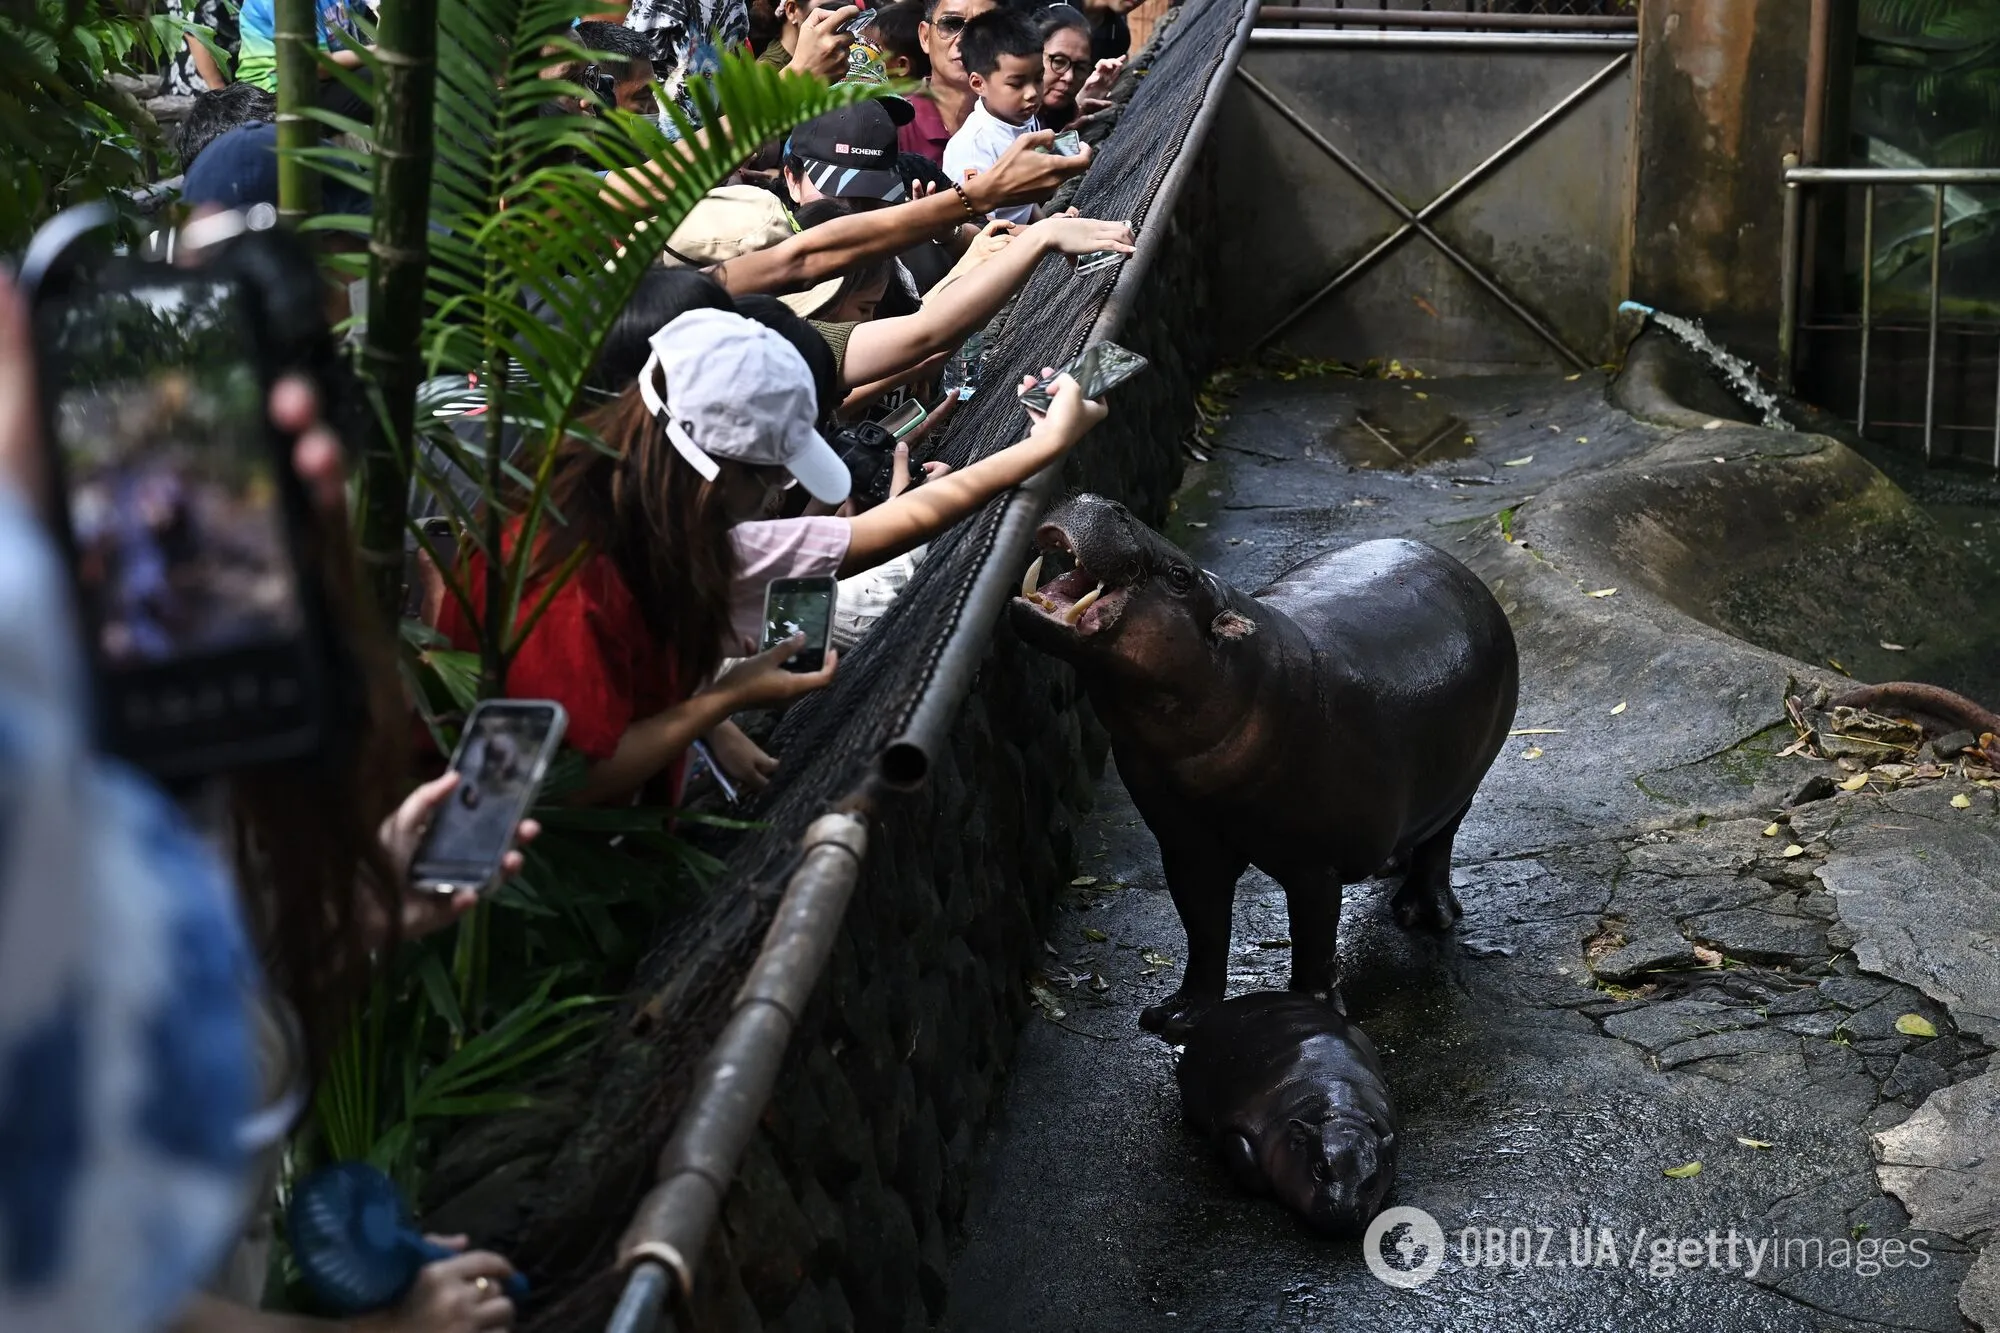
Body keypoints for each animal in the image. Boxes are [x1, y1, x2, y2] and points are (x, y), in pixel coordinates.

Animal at [1008, 492, 1504, 1032]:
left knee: (1441, 841)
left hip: (1465, 781)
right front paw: (1175, 1015)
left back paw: (1424, 914)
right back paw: (1391, 864)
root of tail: (1460, 568)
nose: (1101, 500)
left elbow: (1312, 939)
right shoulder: (1187, 845)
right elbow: (1203, 930)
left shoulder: (1314, 862)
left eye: (1181, 576)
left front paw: (1313, 1013)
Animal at [1176, 992, 1400, 1232]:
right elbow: (1244, 1156)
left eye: (1373, 1181)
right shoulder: (1241, 1123)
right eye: (1319, 1168)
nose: (1345, 1211)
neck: (1339, 1114)